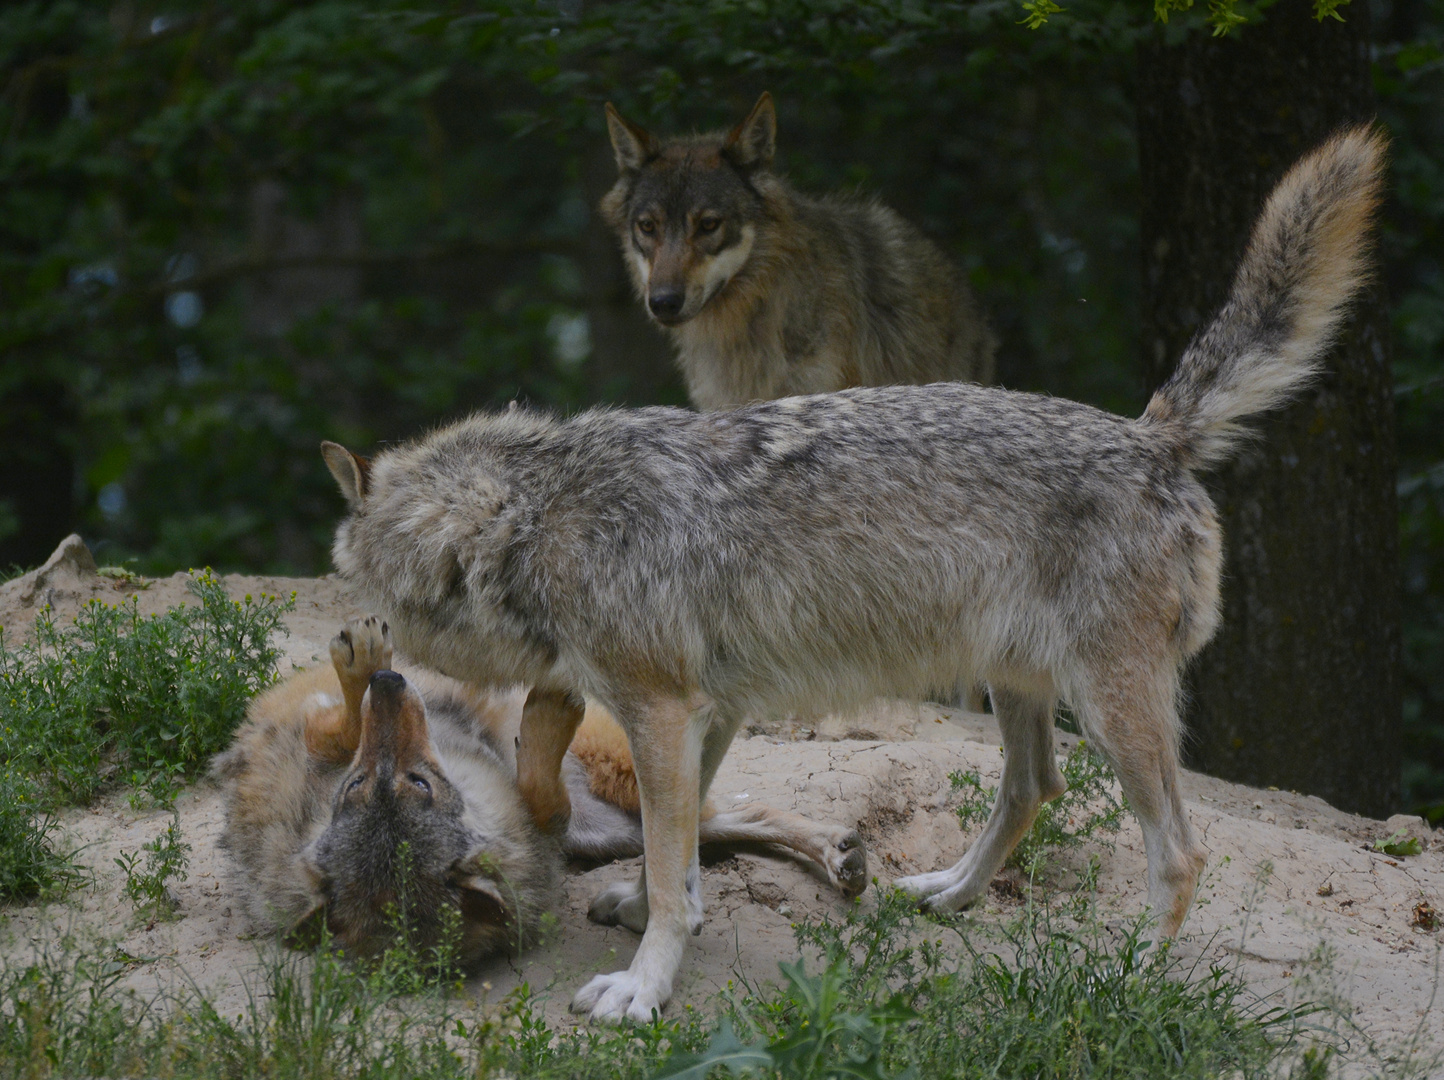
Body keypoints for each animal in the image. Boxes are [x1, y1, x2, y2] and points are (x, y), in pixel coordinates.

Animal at [210, 615, 866, 970]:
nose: (389, 682)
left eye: (362, 784)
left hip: (626, 786)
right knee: (718, 824)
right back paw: (839, 855)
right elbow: (541, 794)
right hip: (614, 830)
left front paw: (363, 664)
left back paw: (839, 851)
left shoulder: (325, 738)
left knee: (734, 809)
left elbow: (346, 721)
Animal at [324, 130, 1386, 1016]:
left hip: (1111, 710)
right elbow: (690, 844)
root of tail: (1152, 434)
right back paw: (947, 893)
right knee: (1030, 789)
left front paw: (643, 986)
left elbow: (672, 860)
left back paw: (1131, 985)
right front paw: (660, 916)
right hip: (1020, 688)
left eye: (368, 602)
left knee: (1181, 852)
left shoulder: (661, 711)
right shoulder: (710, 711)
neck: (537, 521)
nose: (373, 666)